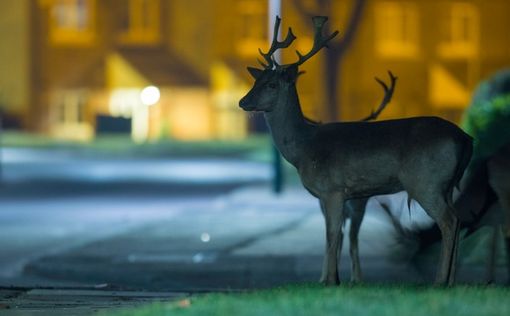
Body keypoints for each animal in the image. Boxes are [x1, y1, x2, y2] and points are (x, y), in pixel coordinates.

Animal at [240, 15, 474, 286]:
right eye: (255, 81)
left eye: (271, 84)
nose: (243, 101)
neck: (303, 148)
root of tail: (466, 138)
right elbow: (335, 235)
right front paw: (332, 279)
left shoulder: (332, 189)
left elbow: (333, 235)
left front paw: (332, 281)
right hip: (447, 185)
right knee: (459, 218)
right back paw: (451, 281)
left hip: (426, 181)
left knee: (448, 220)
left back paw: (439, 281)